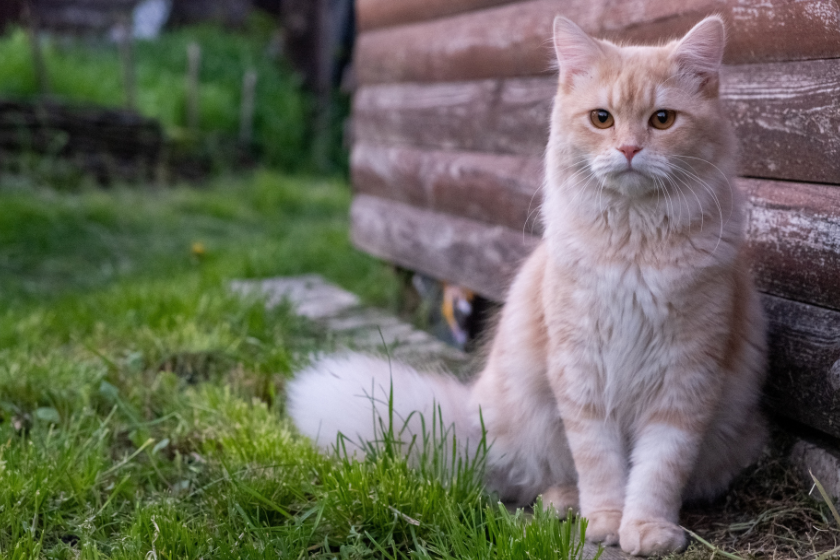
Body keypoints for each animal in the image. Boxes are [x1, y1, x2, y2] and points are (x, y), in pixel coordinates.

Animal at [288, 15, 768, 556]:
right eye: (602, 119)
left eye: (662, 120)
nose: (628, 149)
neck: (632, 248)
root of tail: (474, 417)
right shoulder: (582, 377)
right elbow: (600, 465)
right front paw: (606, 522)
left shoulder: (685, 379)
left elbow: (657, 471)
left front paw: (647, 529)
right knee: (538, 479)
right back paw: (566, 504)